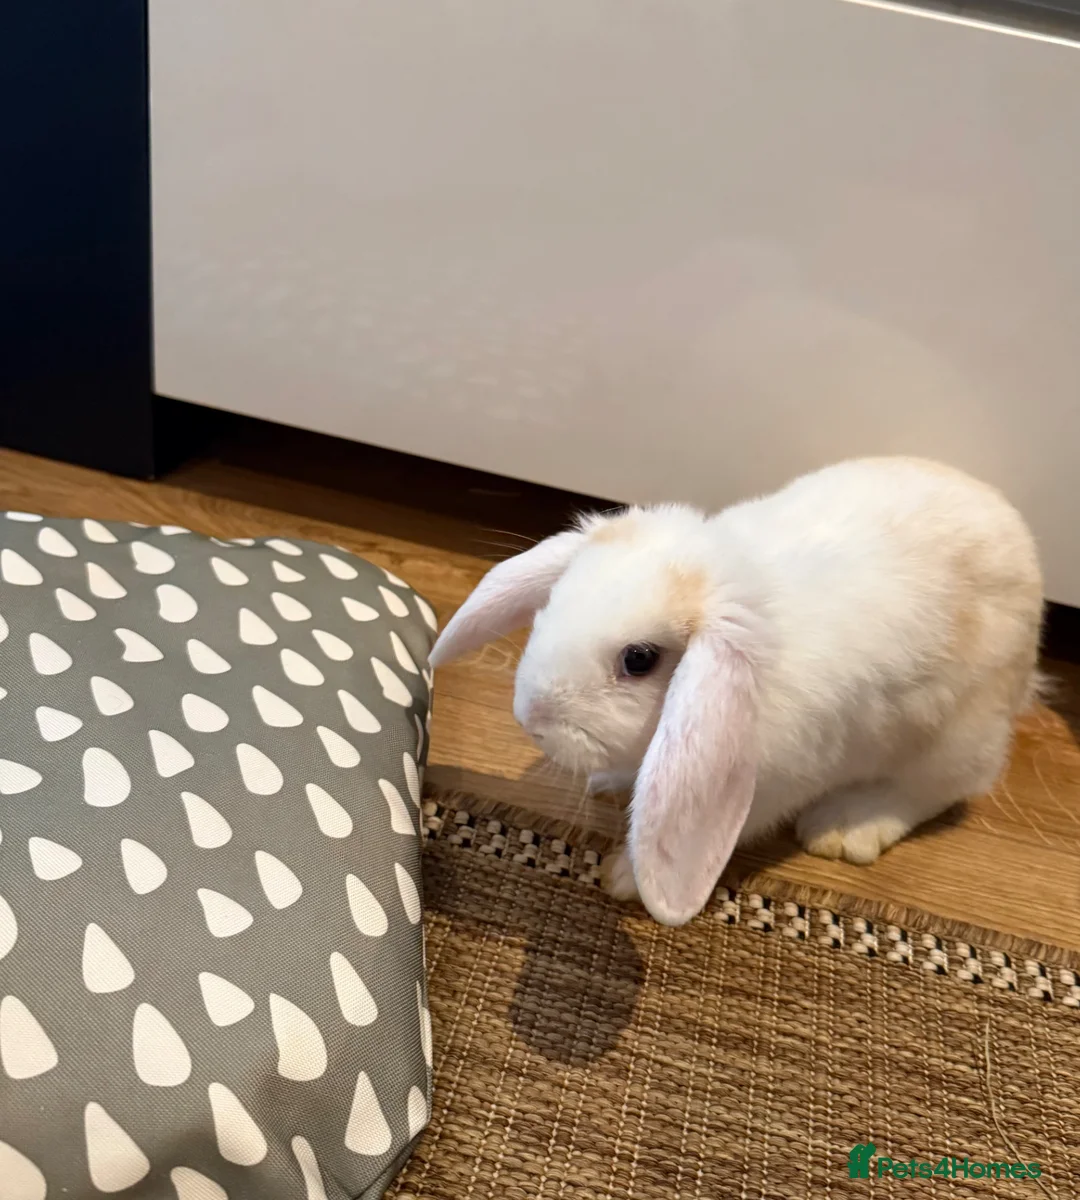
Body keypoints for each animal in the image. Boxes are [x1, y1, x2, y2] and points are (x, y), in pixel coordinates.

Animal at [428, 457, 1044, 927]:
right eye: (553, 602)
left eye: (639, 660)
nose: (530, 717)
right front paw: (610, 783)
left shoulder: (766, 786)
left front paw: (624, 877)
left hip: (955, 734)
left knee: (938, 788)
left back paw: (844, 828)